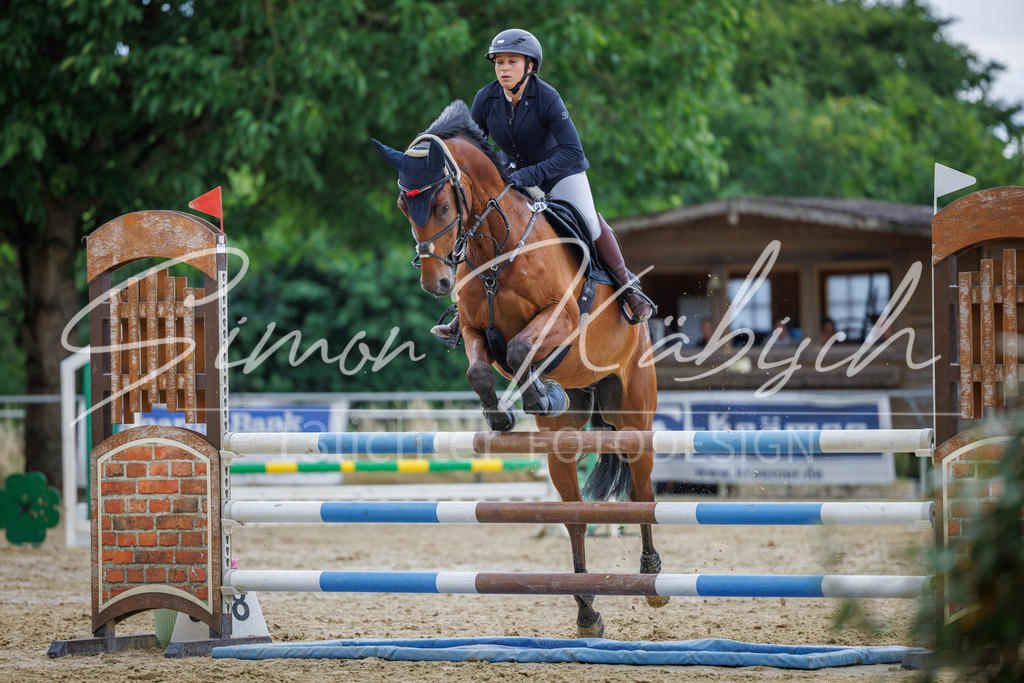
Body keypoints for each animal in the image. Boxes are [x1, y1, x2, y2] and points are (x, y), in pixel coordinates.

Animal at [372, 100, 666, 637]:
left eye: (442, 206)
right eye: (405, 206)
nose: (436, 282)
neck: (496, 251)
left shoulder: (561, 320)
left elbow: (520, 349)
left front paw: (538, 394)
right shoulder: (473, 330)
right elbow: (483, 368)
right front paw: (507, 412)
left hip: (635, 412)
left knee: (640, 488)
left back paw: (652, 576)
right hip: (562, 444)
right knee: (574, 516)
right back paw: (587, 612)